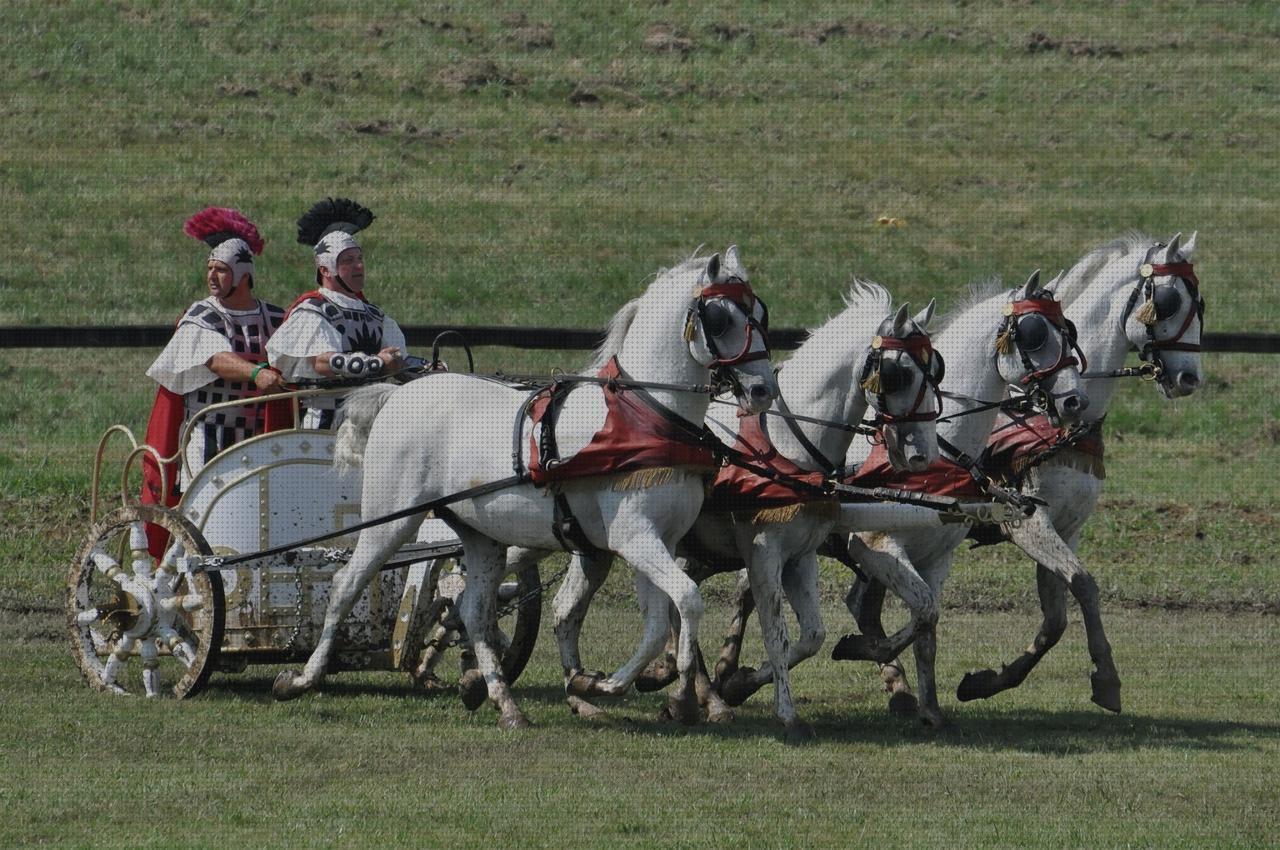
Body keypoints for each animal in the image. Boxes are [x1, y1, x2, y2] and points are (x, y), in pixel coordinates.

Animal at [272, 249, 778, 727]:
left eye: (760, 314)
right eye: (721, 318)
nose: (762, 392)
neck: (647, 414)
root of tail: (400, 392)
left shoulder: (657, 540)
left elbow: (659, 623)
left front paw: (604, 685)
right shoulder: (634, 538)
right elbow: (687, 601)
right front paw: (664, 694)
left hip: (481, 535)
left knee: (474, 611)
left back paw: (504, 701)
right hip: (392, 520)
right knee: (346, 584)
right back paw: (301, 679)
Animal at [865, 229, 1203, 706]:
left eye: (1201, 302)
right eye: (1170, 301)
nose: (1189, 378)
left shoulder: (1066, 526)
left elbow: (1057, 617)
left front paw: (988, 681)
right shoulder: (1028, 522)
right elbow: (1084, 584)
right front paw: (1106, 676)